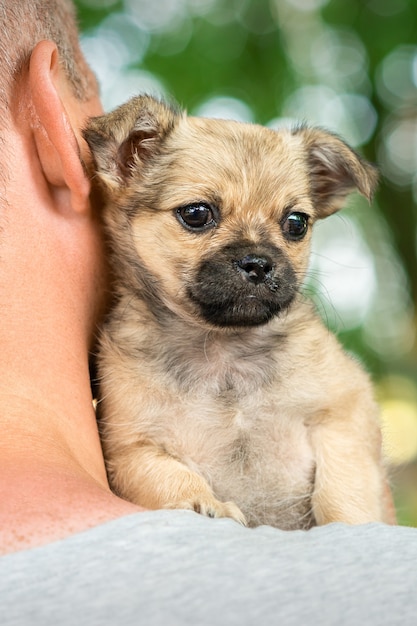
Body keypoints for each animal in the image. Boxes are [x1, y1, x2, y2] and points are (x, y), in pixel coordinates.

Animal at [83, 96, 394, 528]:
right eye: (196, 214)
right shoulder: (131, 448)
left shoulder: (344, 412)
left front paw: (348, 522)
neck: (223, 351)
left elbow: (342, 486)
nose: (259, 263)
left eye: (296, 223)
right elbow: (170, 477)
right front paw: (205, 503)